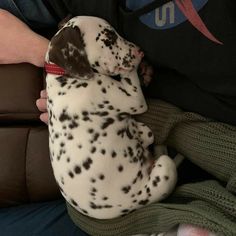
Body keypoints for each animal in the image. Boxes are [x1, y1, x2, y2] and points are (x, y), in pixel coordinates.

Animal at [44, 16, 177, 219]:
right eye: (109, 38)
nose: (140, 51)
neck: (64, 76)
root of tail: (130, 206)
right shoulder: (134, 99)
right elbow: (128, 73)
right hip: (165, 167)